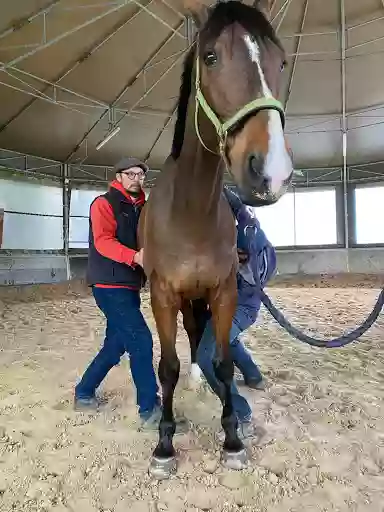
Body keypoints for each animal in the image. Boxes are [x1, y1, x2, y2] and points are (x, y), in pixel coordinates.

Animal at [137, 1, 292, 480]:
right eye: (211, 57)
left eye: (281, 61)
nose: (270, 171)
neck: (191, 210)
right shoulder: (164, 295)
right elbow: (165, 367)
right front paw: (164, 447)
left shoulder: (223, 292)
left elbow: (222, 362)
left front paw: (232, 440)